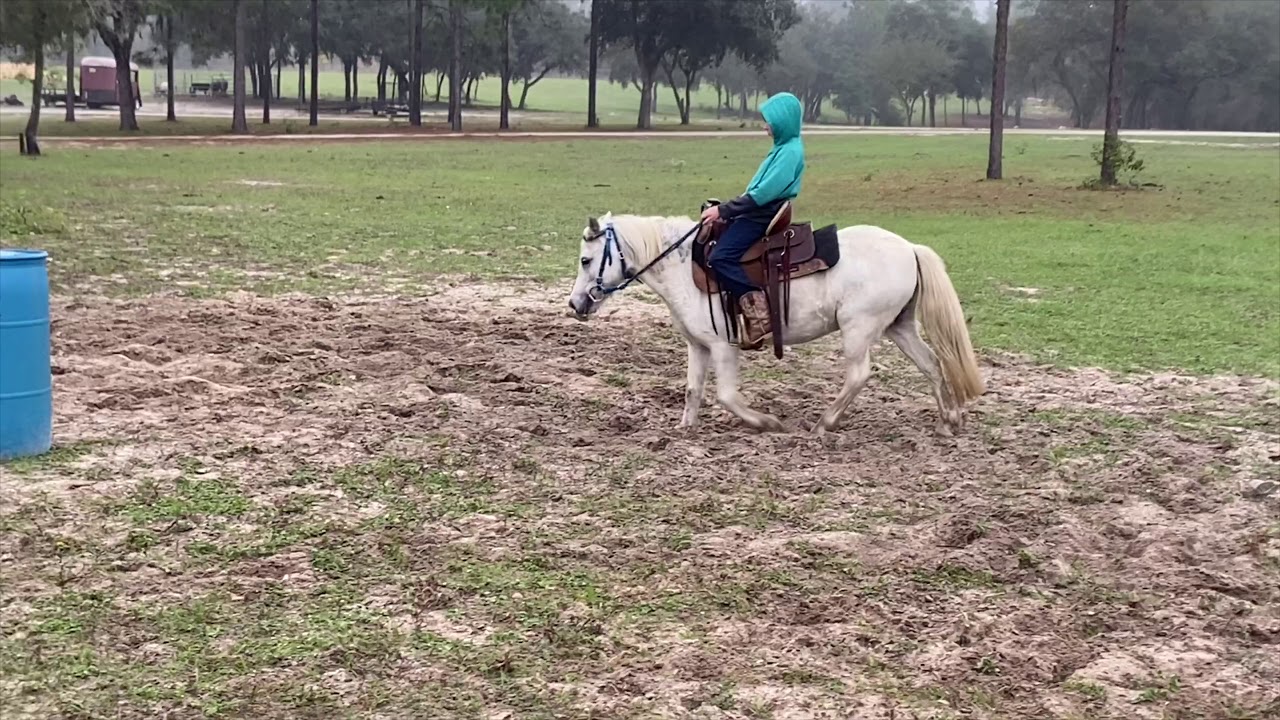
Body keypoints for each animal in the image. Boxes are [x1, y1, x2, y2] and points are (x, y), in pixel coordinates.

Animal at [565, 211, 985, 435]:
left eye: (586, 260)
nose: (574, 304)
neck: (684, 267)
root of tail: (909, 248)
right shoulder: (697, 346)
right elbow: (692, 390)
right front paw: (683, 430)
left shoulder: (722, 346)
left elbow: (726, 395)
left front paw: (768, 423)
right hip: (899, 326)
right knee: (932, 364)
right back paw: (948, 419)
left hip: (859, 328)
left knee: (859, 374)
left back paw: (823, 424)